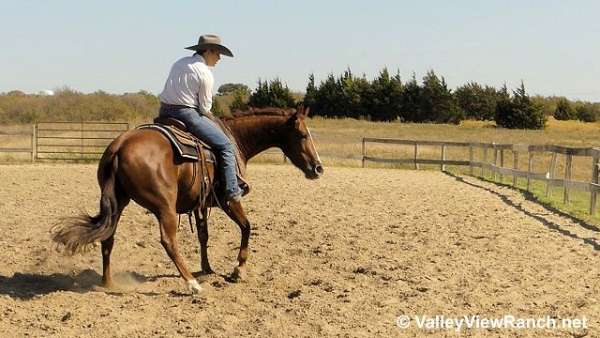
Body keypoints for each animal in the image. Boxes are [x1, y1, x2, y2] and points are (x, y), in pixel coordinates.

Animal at [52, 106, 324, 294]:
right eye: (301, 134)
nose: (318, 168)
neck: (235, 139)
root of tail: (120, 145)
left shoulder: (199, 203)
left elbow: (204, 235)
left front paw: (207, 268)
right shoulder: (229, 198)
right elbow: (247, 227)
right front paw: (238, 269)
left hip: (118, 202)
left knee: (108, 238)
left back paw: (109, 283)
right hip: (165, 207)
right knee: (168, 241)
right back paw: (192, 285)